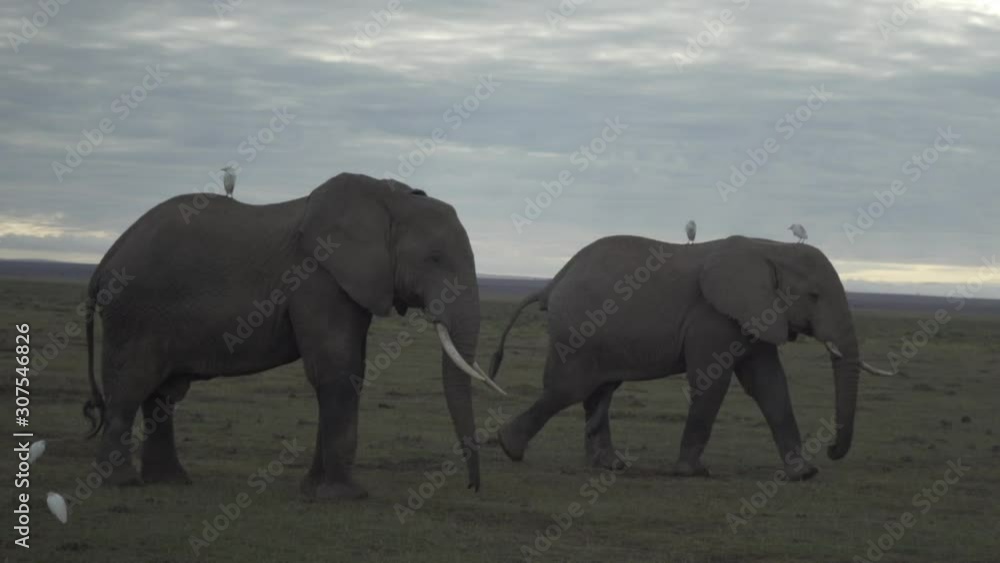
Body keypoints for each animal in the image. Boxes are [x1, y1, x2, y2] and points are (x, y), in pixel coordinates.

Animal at [81, 172, 504, 500]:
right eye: (434, 258)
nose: (473, 488)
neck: (388, 198)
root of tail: (107, 258)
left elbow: (350, 370)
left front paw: (313, 491)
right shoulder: (318, 277)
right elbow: (336, 370)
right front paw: (344, 496)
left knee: (161, 395)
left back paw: (169, 482)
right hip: (135, 312)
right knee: (130, 389)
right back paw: (122, 484)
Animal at [488, 235, 891, 480]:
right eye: (813, 296)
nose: (833, 450)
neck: (769, 248)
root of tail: (551, 284)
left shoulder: (756, 314)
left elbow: (770, 384)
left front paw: (802, 474)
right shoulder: (713, 317)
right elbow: (713, 381)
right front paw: (691, 471)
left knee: (598, 391)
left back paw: (610, 465)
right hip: (578, 330)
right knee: (567, 389)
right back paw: (510, 448)